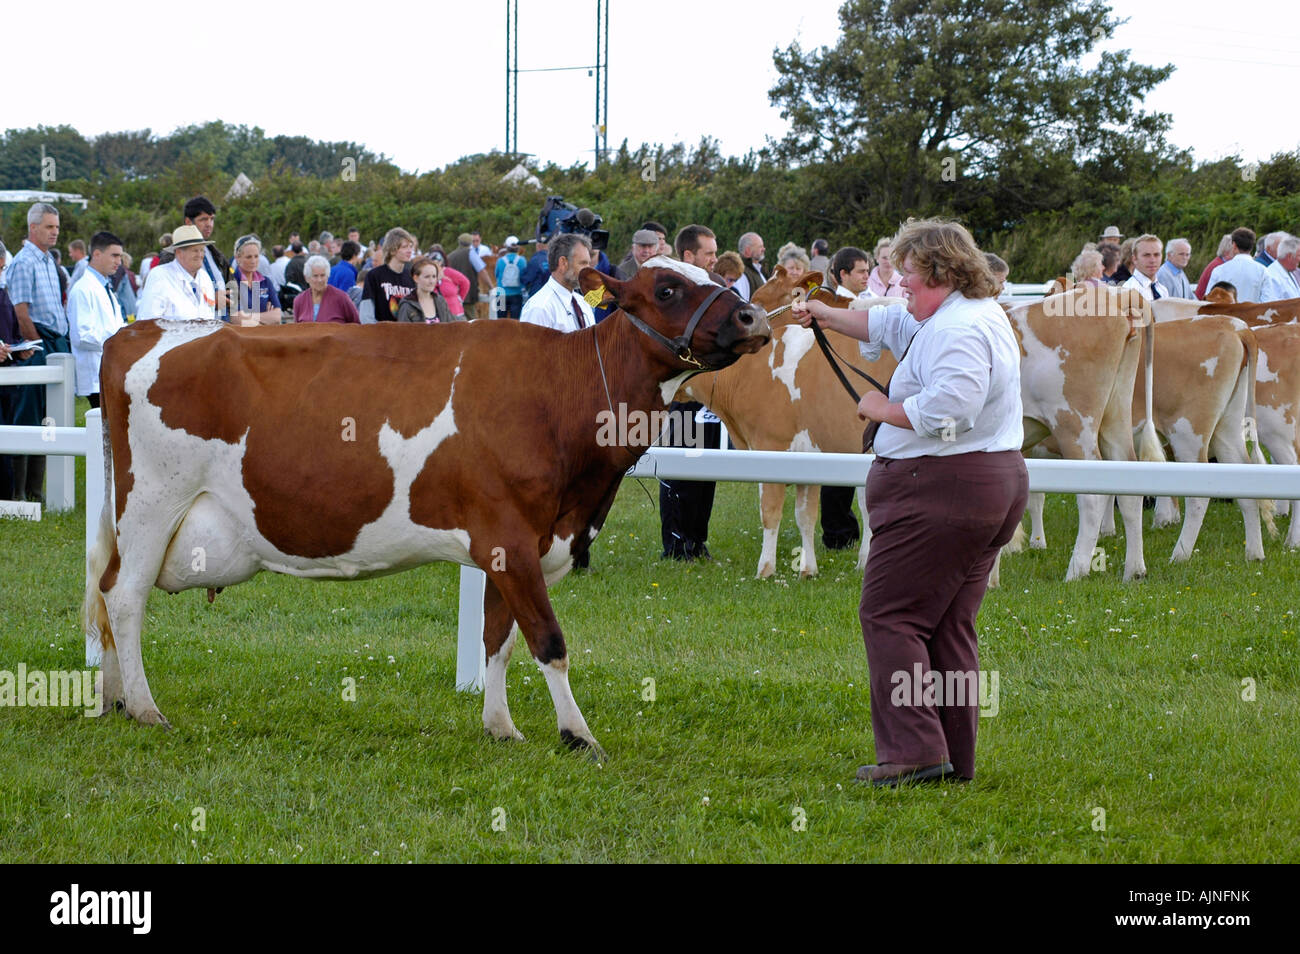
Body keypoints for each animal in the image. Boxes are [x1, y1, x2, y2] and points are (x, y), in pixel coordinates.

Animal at [83, 261, 769, 764]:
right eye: (667, 287)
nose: (754, 314)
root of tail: (138, 331)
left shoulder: (510, 547)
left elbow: (498, 638)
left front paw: (500, 726)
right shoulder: (512, 538)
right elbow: (548, 641)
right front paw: (580, 736)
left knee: (107, 590)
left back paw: (112, 699)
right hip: (153, 504)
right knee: (125, 597)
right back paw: (145, 708)